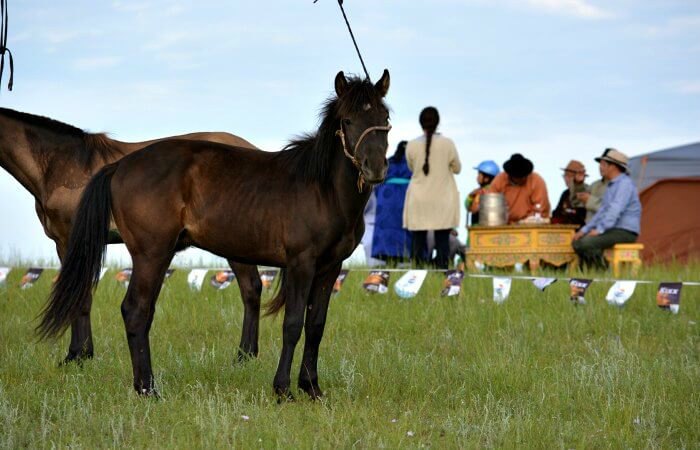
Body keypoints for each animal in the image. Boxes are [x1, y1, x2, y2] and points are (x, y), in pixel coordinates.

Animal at [0, 110, 262, 366]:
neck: (61, 164)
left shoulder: (70, 242)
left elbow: (80, 297)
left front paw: (77, 356)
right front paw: (82, 354)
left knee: (250, 289)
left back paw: (243, 356)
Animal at [38, 70, 392, 398]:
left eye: (385, 118)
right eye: (348, 120)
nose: (375, 168)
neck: (323, 190)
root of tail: (120, 166)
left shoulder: (329, 267)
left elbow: (316, 325)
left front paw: (312, 388)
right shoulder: (301, 264)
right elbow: (293, 324)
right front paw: (283, 390)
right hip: (151, 254)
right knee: (136, 310)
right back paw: (147, 390)